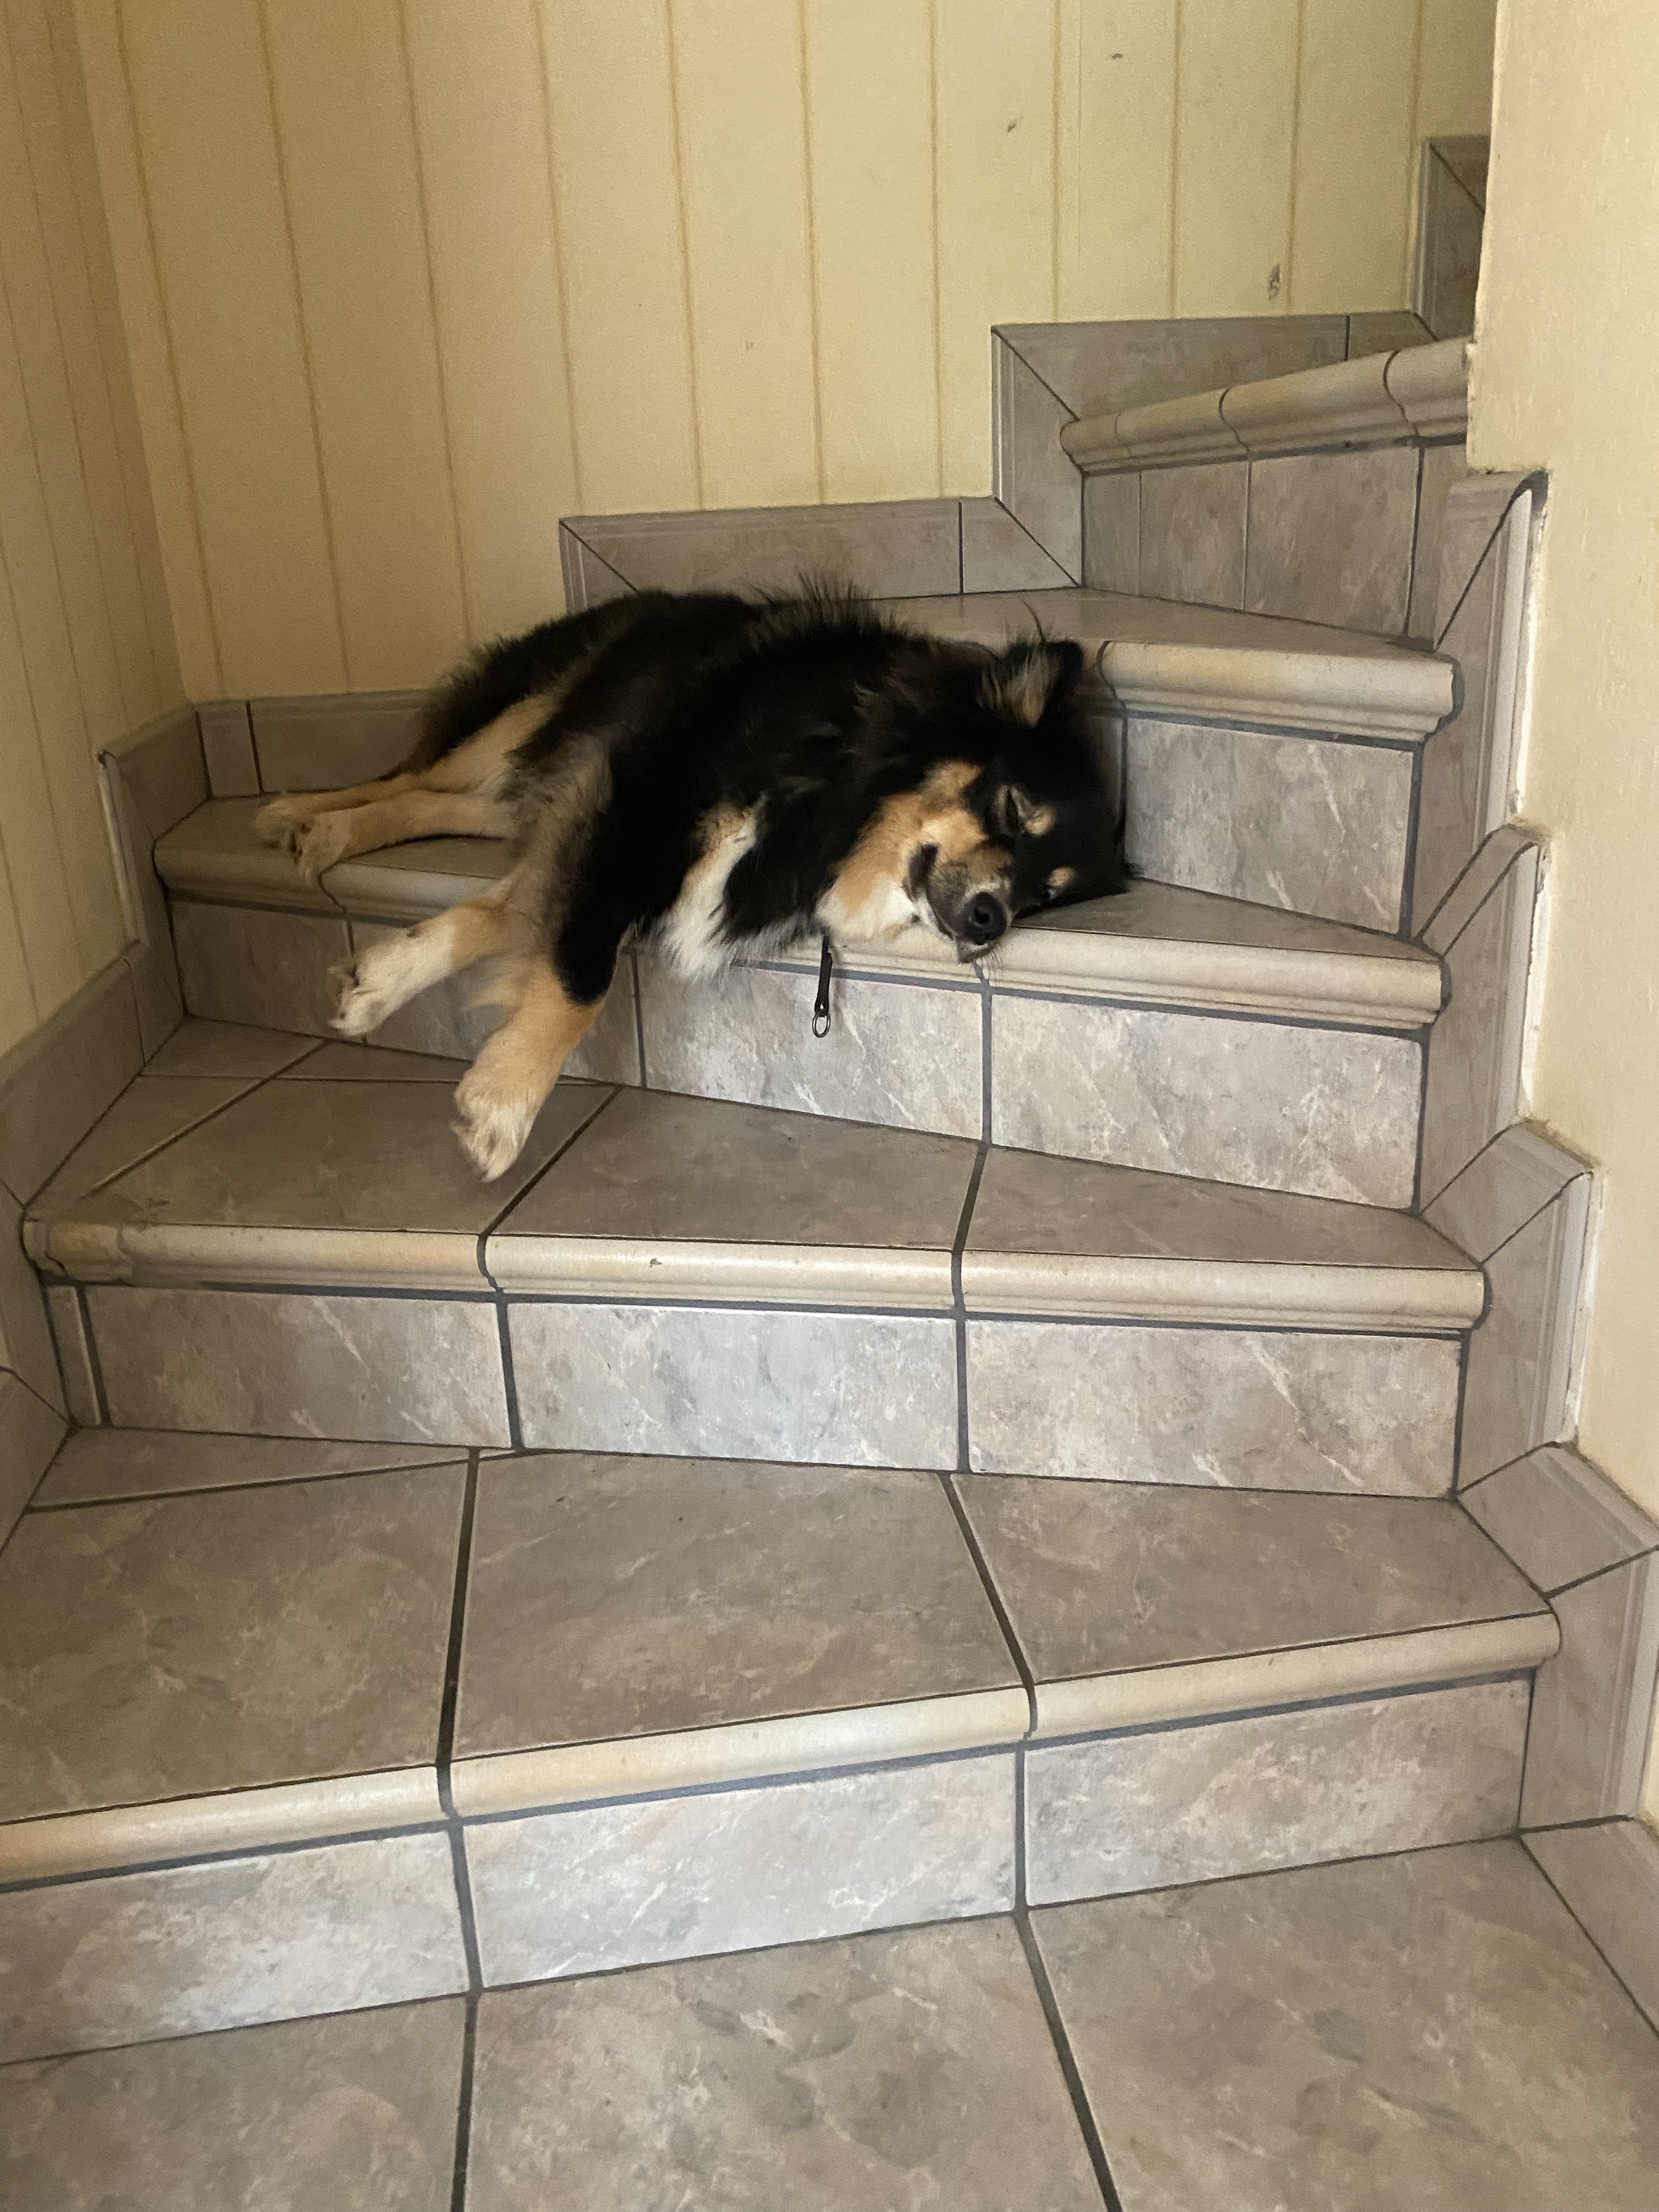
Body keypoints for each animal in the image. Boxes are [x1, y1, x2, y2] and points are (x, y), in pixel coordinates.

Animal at [255, 588, 1124, 1178]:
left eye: (1044, 895)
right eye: (1011, 806)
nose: (989, 920)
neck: (839, 781)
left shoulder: (594, 820)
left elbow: (507, 915)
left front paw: (383, 978)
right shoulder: (632, 799)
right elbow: (579, 975)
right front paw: (502, 1105)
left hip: (533, 773)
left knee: (441, 804)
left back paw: (323, 832)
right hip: (525, 717)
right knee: (405, 776)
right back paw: (302, 815)